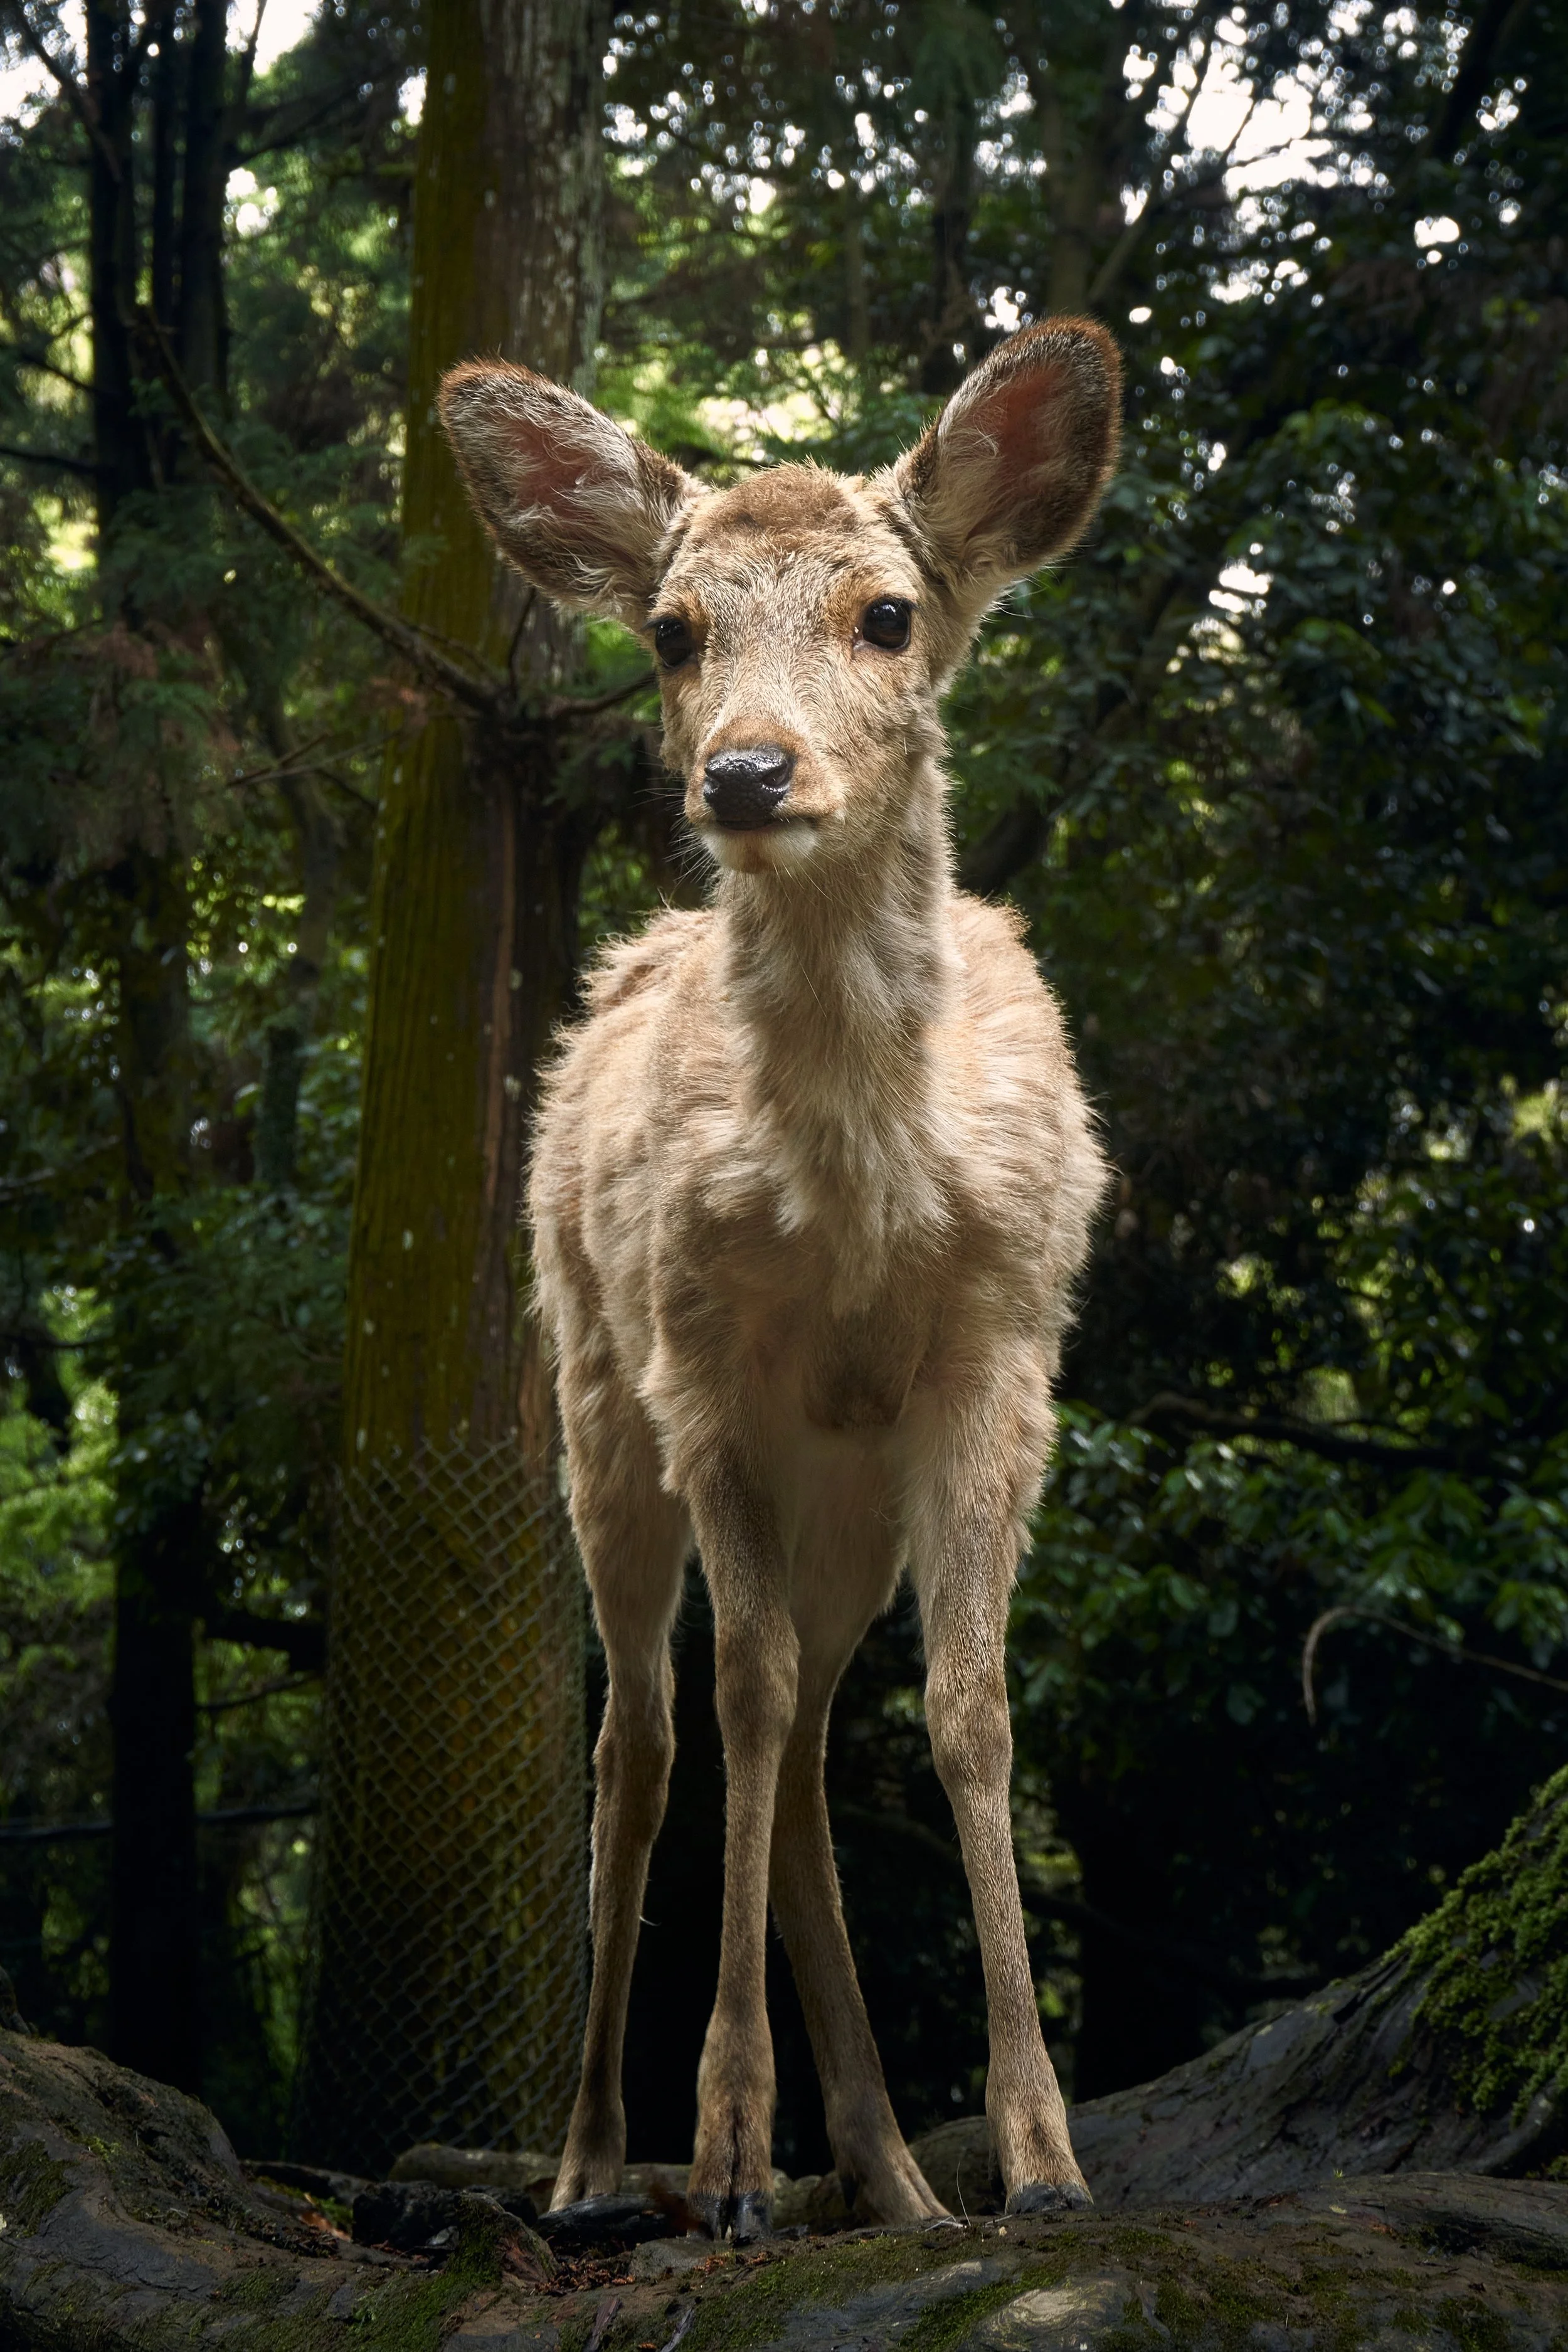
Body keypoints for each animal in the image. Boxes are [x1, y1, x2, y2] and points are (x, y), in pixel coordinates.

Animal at [439, 317, 1120, 2242]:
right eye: (673, 631)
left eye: (887, 612)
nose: (746, 774)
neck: (855, 1194)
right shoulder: (702, 1361)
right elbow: (723, 1705)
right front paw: (731, 2145)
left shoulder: (998, 1354)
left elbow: (970, 1709)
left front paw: (1045, 2156)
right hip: (598, 1404)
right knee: (658, 1733)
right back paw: (602, 2158)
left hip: (848, 1492)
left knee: (811, 1736)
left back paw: (893, 2174)